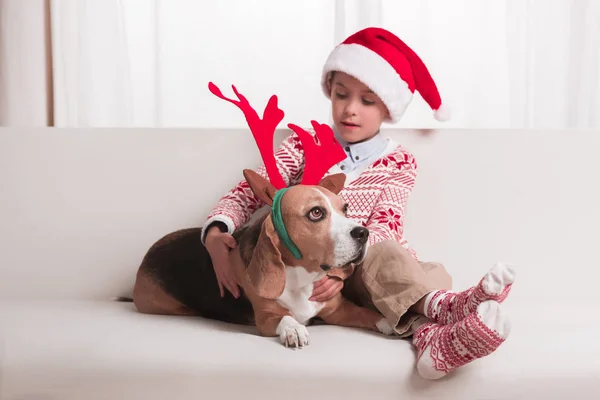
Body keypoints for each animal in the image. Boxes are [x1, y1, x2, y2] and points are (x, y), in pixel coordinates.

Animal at [131, 170, 394, 348]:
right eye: (316, 212)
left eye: (345, 209)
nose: (363, 233)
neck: (301, 278)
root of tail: (148, 254)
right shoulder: (266, 318)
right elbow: (285, 317)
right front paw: (294, 329)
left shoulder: (338, 309)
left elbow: (368, 314)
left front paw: (389, 323)